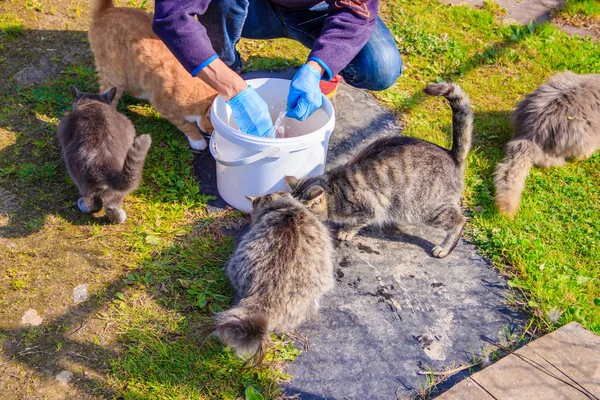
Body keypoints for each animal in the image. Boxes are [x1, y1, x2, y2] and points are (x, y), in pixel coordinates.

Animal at [56, 86, 151, 223]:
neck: (93, 103)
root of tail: (104, 162)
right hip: (119, 182)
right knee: (111, 203)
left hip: (81, 178)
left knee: (96, 203)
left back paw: (82, 204)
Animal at [88, 0, 217, 150]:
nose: (212, 137)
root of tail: (107, 10)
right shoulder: (166, 108)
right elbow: (187, 125)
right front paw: (197, 140)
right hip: (114, 77)